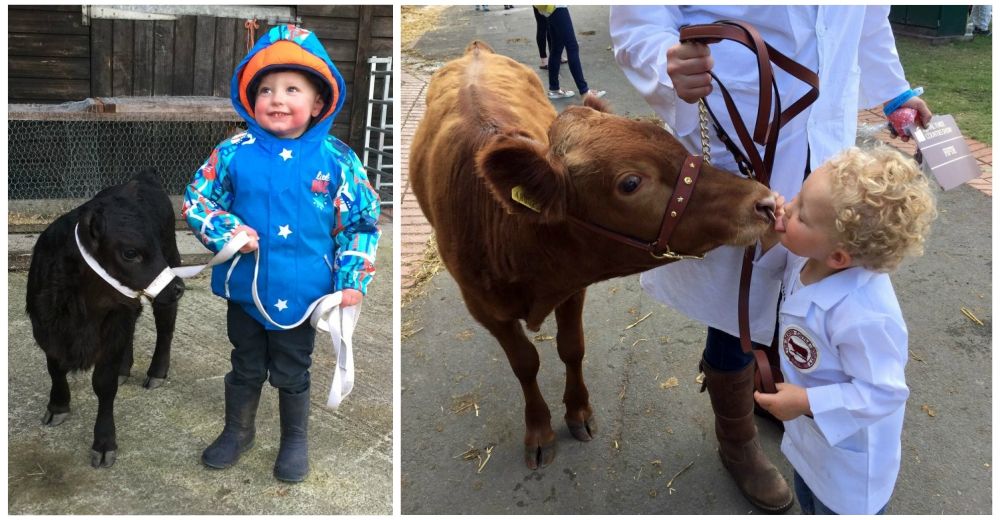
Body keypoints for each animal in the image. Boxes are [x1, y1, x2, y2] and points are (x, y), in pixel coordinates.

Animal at [25, 170, 185, 468]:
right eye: (130, 253)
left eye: (154, 247)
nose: (178, 287)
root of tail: (142, 176)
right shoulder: (46, 328)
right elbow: (55, 369)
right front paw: (58, 406)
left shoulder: (113, 325)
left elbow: (103, 383)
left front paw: (104, 442)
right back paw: (125, 368)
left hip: (171, 265)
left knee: (165, 325)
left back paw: (156, 372)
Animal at [410, 42, 776, 470]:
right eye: (630, 183)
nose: (763, 201)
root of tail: (475, 50)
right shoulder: (485, 308)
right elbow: (525, 363)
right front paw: (539, 429)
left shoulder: (572, 286)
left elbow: (571, 347)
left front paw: (578, 412)